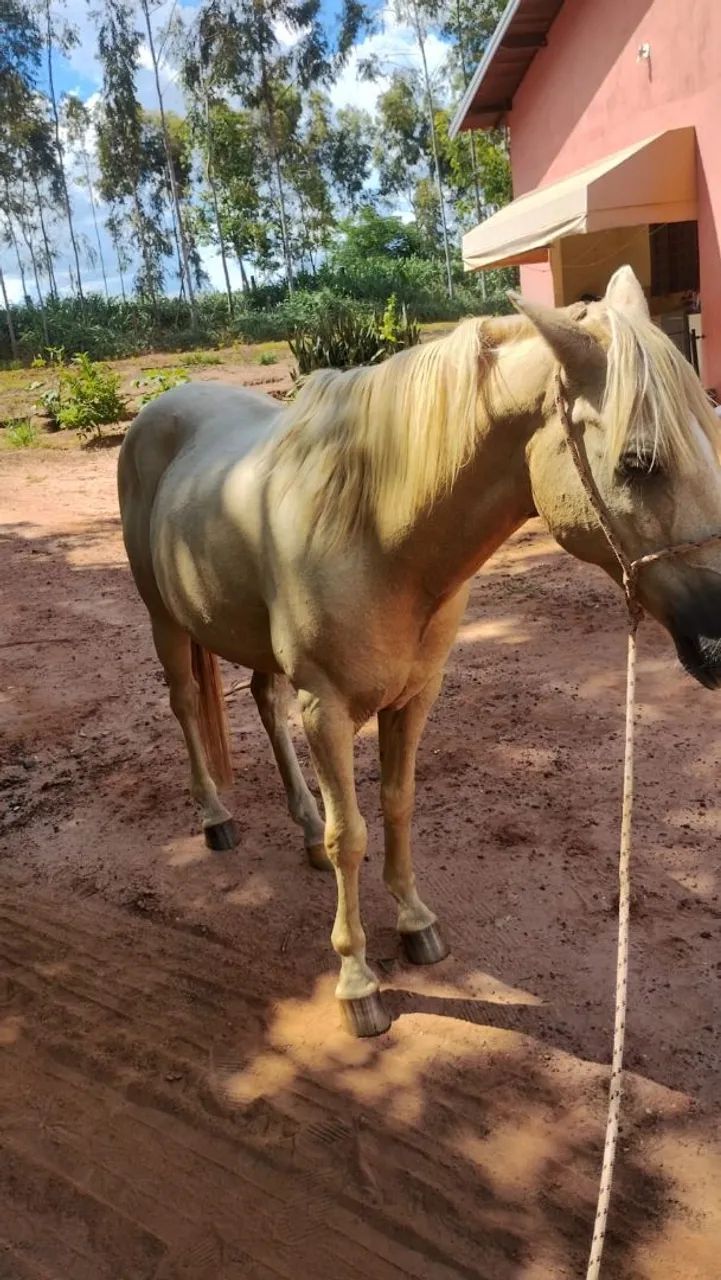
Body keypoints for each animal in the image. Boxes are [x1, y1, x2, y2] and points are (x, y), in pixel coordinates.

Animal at [118, 266, 721, 1037]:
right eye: (638, 461)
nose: (720, 643)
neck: (377, 531)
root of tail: (159, 409)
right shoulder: (327, 708)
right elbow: (351, 835)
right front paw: (357, 981)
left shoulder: (413, 696)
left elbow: (398, 806)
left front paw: (413, 924)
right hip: (164, 619)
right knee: (187, 703)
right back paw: (216, 818)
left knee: (262, 701)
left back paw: (302, 827)